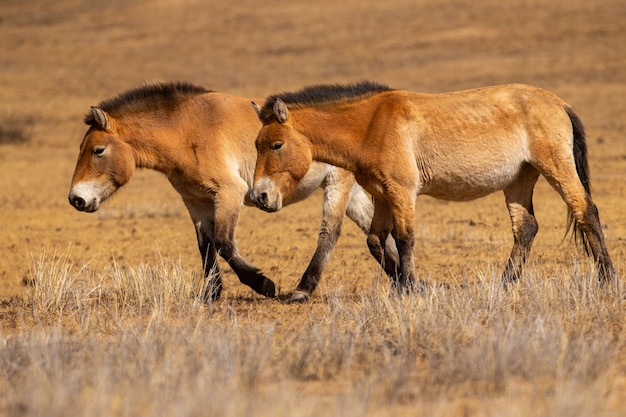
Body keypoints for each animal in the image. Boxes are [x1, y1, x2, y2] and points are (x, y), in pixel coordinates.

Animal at [68, 81, 398, 300]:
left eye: (98, 150)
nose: (76, 199)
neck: (188, 130)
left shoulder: (229, 193)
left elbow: (224, 242)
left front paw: (263, 284)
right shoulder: (196, 201)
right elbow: (206, 245)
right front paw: (210, 294)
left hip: (337, 184)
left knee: (329, 233)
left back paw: (303, 289)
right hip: (353, 192)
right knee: (377, 234)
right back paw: (402, 280)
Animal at [250, 80, 616, 290]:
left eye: (277, 145)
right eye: (256, 144)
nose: (260, 195)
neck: (371, 125)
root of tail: (560, 103)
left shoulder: (402, 191)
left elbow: (404, 238)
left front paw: (411, 287)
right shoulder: (383, 195)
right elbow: (376, 240)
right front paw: (405, 285)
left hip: (557, 168)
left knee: (586, 211)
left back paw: (607, 279)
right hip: (519, 179)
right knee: (526, 227)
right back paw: (505, 284)